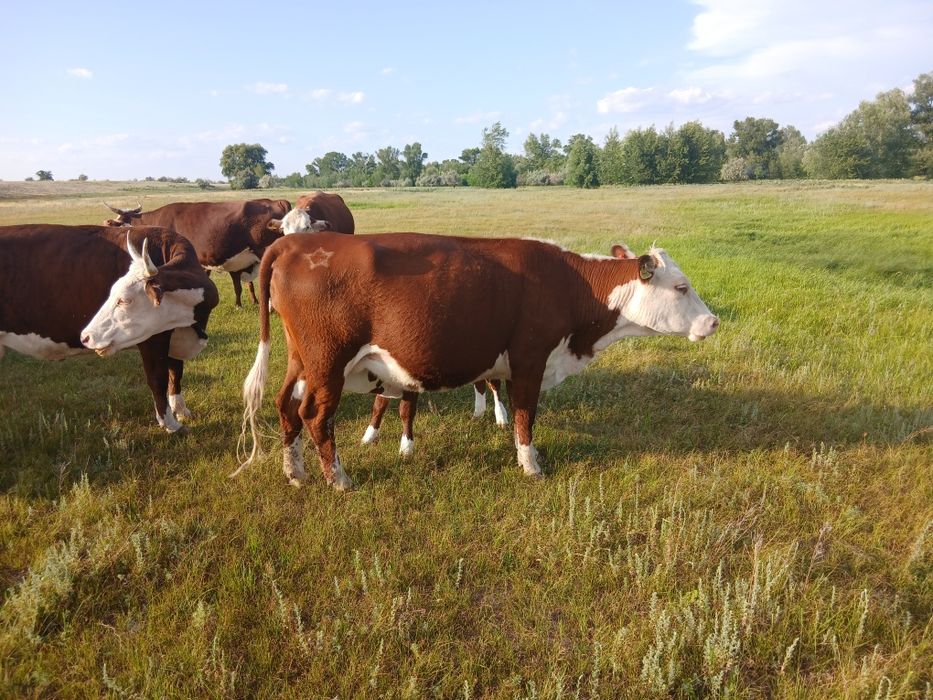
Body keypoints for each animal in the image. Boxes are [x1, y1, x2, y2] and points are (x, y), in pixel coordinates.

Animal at [0, 224, 219, 433]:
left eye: (124, 300)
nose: (85, 337)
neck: (192, 326)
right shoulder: (153, 339)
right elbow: (158, 379)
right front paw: (170, 424)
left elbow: (176, 371)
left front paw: (181, 410)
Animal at [236, 232, 719, 490]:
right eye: (681, 287)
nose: (712, 321)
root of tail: (296, 241)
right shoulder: (530, 360)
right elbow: (525, 416)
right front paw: (531, 465)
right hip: (328, 362)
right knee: (315, 416)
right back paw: (338, 479)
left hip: (301, 360)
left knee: (285, 407)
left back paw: (295, 471)